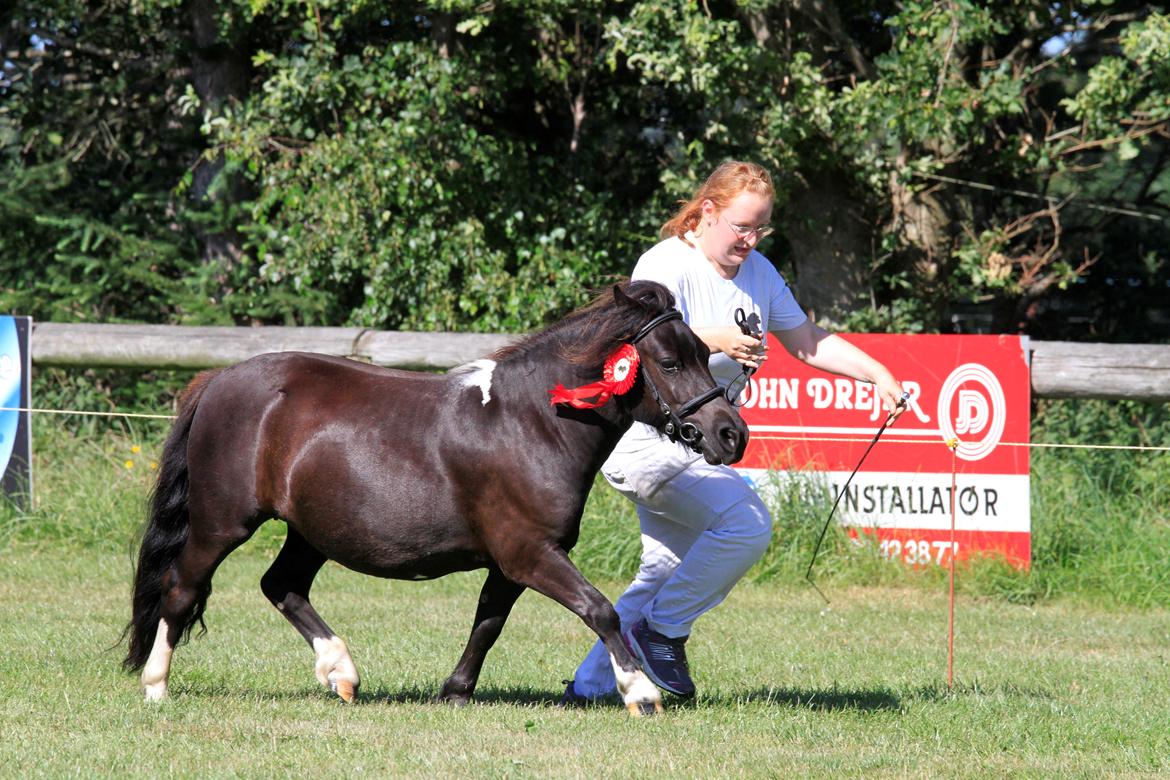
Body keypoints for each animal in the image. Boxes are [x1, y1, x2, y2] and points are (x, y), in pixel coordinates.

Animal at [125, 279, 748, 715]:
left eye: (702, 352)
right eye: (669, 361)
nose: (730, 435)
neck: (532, 423)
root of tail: (219, 381)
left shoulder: (512, 562)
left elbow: (487, 623)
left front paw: (455, 691)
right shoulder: (531, 554)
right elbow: (601, 609)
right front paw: (641, 691)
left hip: (310, 531)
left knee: (281, 585)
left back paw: (341, 673)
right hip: (222, 522)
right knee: (182, 589)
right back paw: (156, 686)